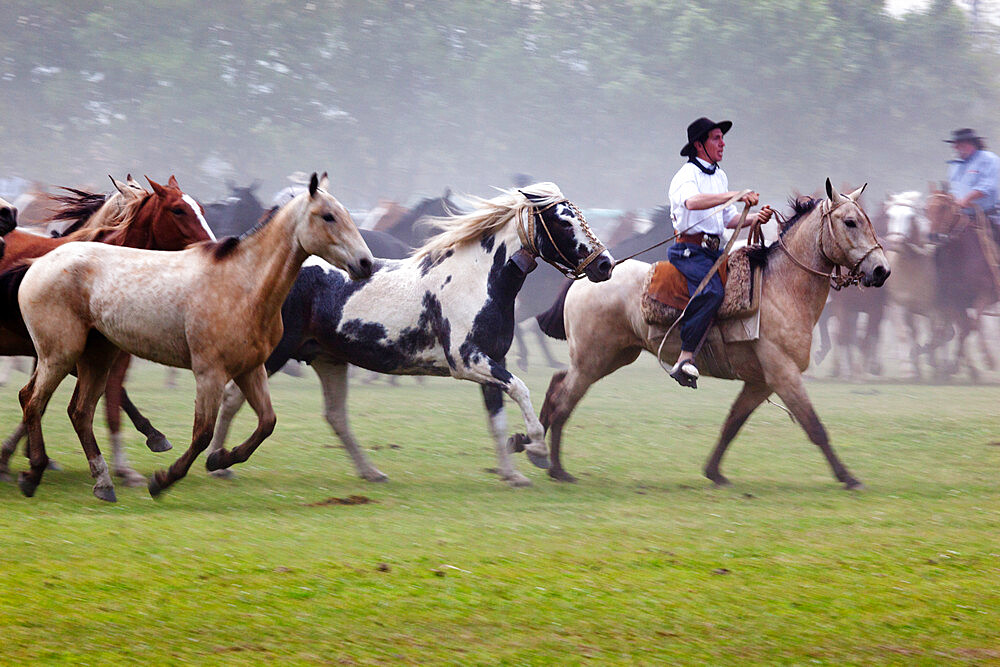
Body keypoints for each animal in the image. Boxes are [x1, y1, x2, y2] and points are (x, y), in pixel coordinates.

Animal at [206, 181, 612, 486]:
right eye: (563, 223)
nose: (605, 265)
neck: (478, 279)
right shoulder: (468, 361)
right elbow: (522, 390)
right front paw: (536, 450)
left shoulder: (492, 361)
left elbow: (497, 421)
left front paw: (513, 472)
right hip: (275, 354)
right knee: (233, 398)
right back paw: (220, 462)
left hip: (328, 359)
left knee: (335, 416)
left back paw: (371, 472)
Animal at [532, 183, 892, 490]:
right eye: (850, 222)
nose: (881, 270)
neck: (781, 287)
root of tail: (587, 277)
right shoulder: (783, 374)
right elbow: (814, 426)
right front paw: (848, 477)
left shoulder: (761, 382)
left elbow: (732, 423)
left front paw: (714, 472)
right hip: (593, 359)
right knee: (563, 400)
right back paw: (556, 468)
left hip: (611, 356)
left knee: (558, 385)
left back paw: (538, 449)